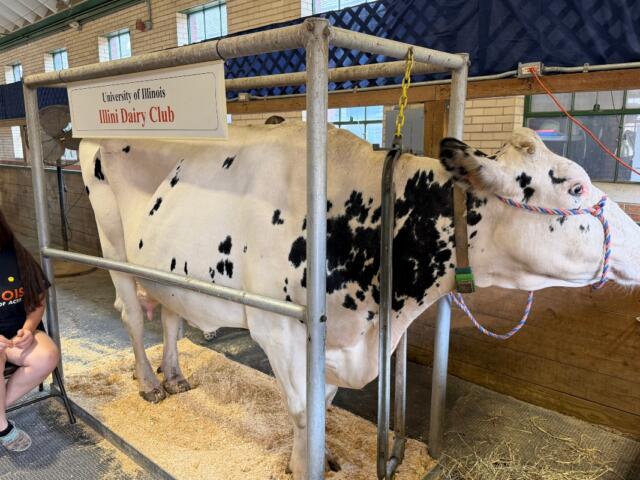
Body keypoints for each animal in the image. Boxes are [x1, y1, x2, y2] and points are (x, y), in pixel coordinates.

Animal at [78, 124, 640, 478]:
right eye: (576, 186)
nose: (639, 238)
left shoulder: (340, 340)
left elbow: (323, 406)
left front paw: (315, 459)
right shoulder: (280, 330)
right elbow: (304, 411)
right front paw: (304, 465)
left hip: (165, 267)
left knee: (171, 316)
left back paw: (174, 376)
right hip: (113, 245)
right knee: (133, 316)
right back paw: (150, 384)